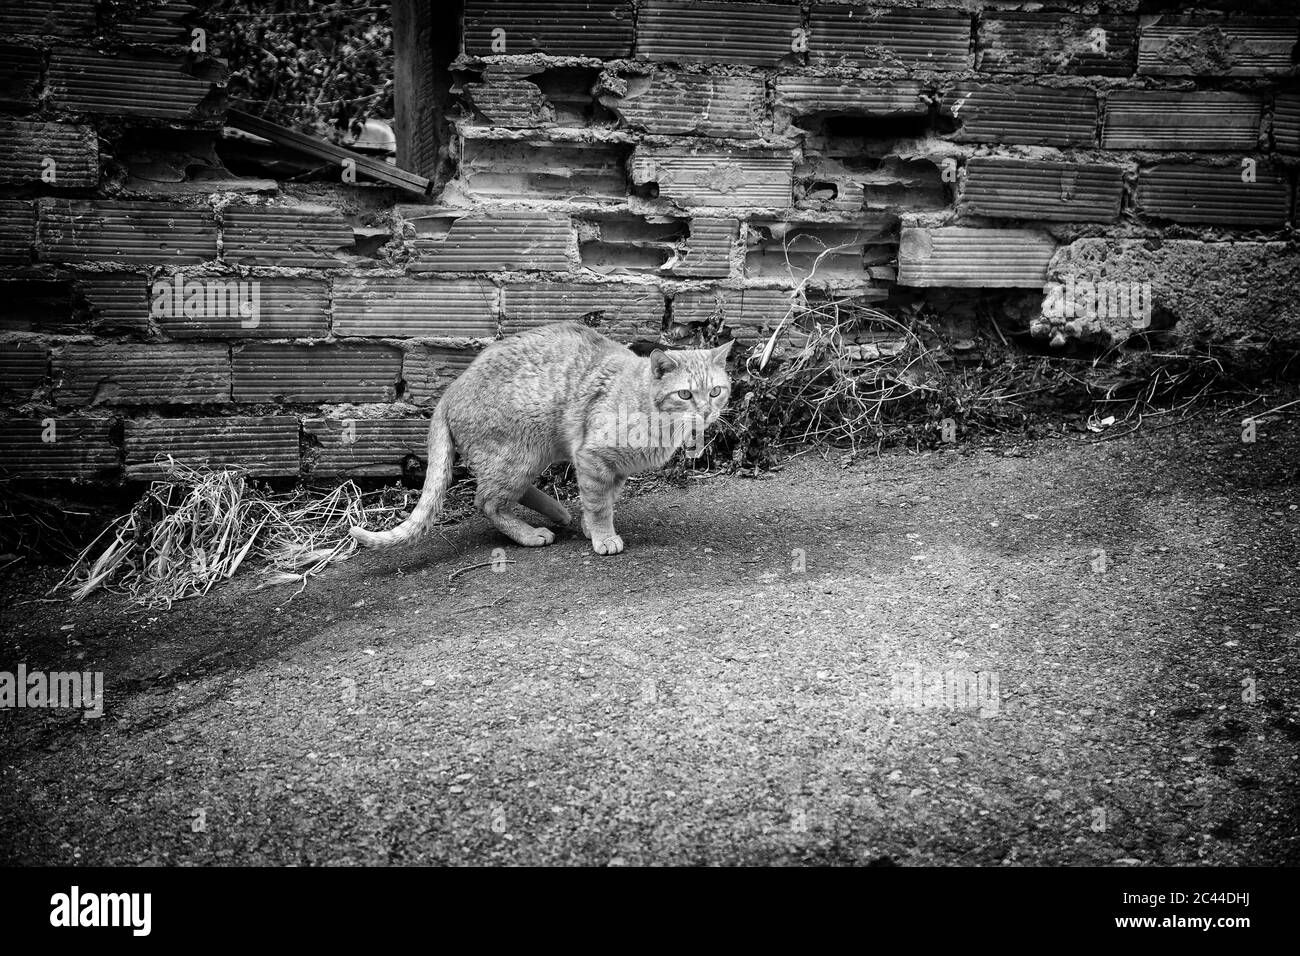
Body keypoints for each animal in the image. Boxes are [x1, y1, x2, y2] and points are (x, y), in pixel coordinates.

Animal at [351, 323, 733, 554]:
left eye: (716, 392)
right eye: (685, 395)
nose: (706, 413)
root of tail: (450, 389)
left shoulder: (614, 470)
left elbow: (602, 500)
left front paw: (590, 527)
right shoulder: (592, 458)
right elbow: (599, 504)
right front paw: (603, 535)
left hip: (529, 456)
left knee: (508, 493)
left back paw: (557, 512)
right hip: (518, 455)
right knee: (486, 501)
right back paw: (529, 533)